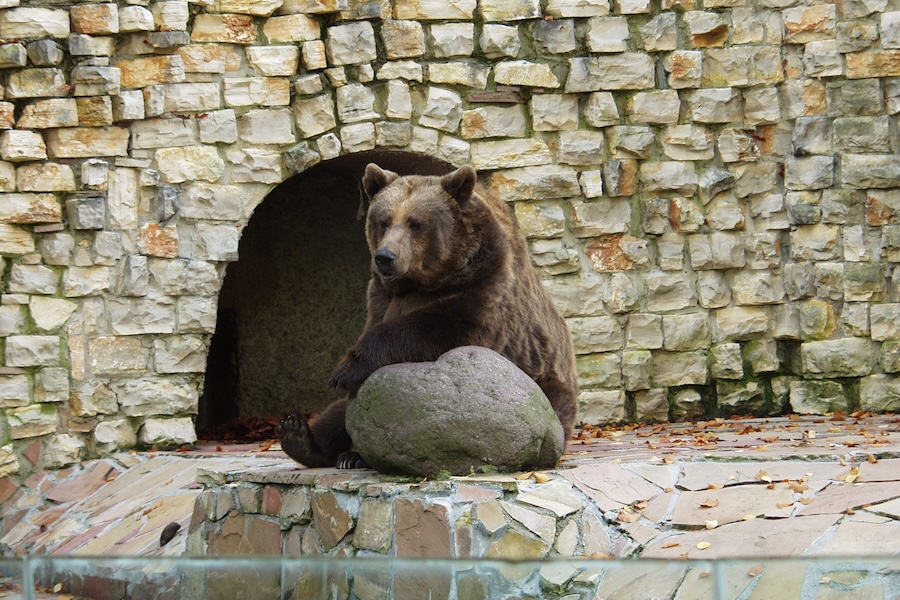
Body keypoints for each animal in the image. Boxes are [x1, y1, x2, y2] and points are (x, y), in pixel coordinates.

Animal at [277, 163, 578, 469]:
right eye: (383, 221)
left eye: (415, 223)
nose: (385, 257)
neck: (423, 282)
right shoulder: (380, 297)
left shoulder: (486, 287)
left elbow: (437, 330)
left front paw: (345, 369)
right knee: (339, 413)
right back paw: (299, 435)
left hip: (544, 384)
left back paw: (353, 454)